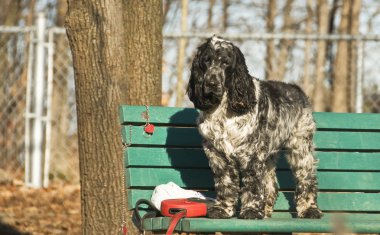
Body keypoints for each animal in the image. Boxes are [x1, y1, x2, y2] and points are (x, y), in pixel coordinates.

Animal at [186, 35, 322, 219]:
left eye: (226, 63)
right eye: (206, 60)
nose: (211, 83)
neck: (223, 110)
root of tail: (297, 90)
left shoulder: (251, 154)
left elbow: (252, 184)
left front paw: (250, 210)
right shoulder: (217, 154)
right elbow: (225, 183)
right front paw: (222, 209)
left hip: (300, 146)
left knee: (306, 178)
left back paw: (309, 209)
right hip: (269, 154)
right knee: (271, 185)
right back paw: (265, 211)